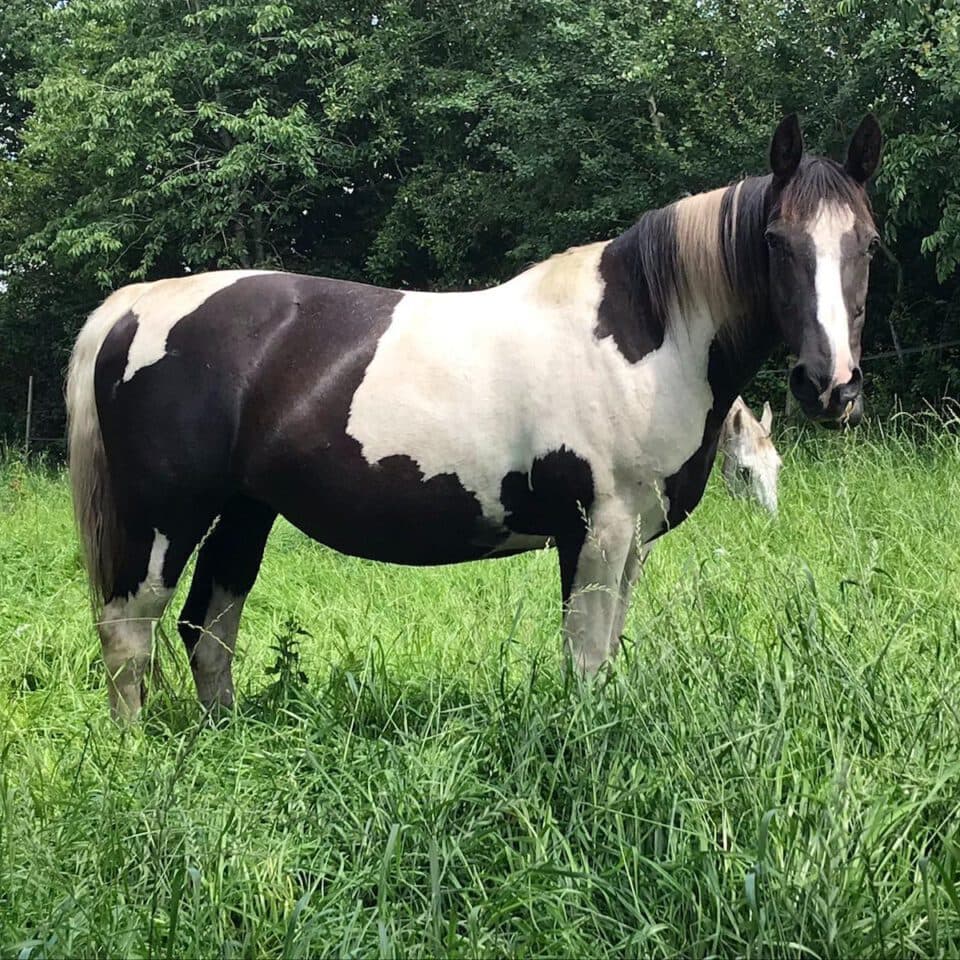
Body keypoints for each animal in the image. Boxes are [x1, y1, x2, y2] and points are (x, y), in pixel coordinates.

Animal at [66, 113, 883, 721]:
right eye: (776, 241)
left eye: (868, 243)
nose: (830, 386)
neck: (646, 335)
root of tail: (131, 307)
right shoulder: (597, 529)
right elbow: (587, 658)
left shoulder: (634, 540)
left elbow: (607, 648)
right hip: (164, 517)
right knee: (129, 632)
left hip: (245, 511)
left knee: (208, 627)